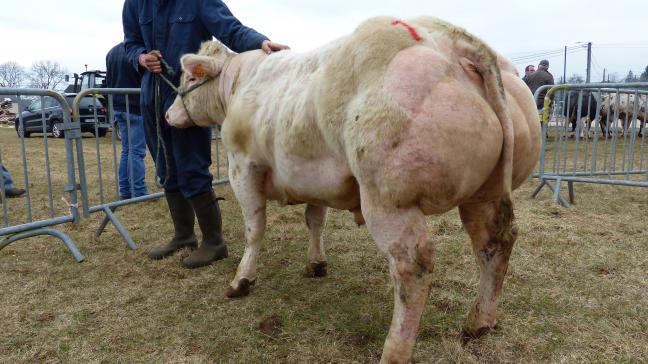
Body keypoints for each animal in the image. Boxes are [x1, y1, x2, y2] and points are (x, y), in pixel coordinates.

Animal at [166, 16, 540, 364]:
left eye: (190, 79)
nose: (168, 116)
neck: (242, 83)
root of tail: (454, 39)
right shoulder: (312, 177)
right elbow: (314, 219)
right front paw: (316, 264)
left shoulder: (242, 167)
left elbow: (254, 229)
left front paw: (241, 281)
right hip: (484, 194)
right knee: (495, 244)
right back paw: (478, 323)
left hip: (388, 199)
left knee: (413, 265)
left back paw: (395, 350)